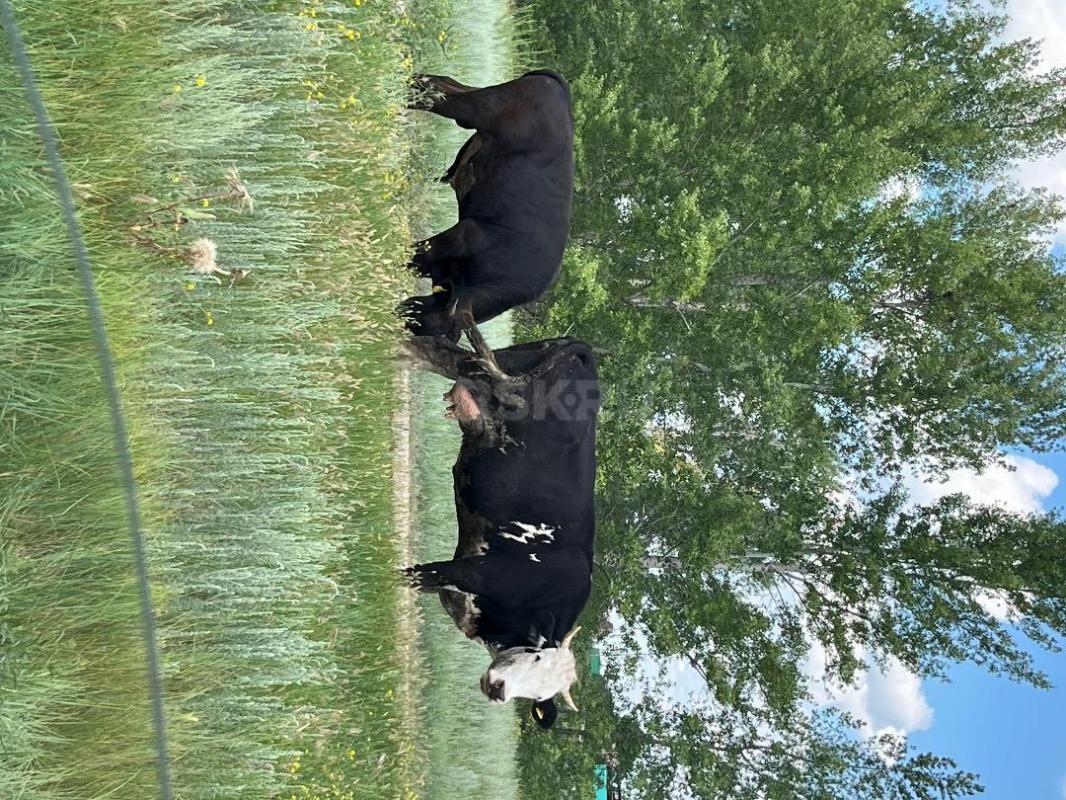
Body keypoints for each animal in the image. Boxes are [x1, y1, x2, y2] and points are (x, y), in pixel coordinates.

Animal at [399, 70, 574, 341]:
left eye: (420, 323)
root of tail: (556, 87)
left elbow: (420, 260)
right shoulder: (465, 233)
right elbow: (419, 251)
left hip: (474, 108)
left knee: (444, 84)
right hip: (479, 107)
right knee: (438, 97)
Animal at [402, 334, 599, 727]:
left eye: (540, 696)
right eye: (536, 656)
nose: (498, 689)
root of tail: (584, 351)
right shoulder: (472, 571)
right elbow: (408, 576)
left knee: (434, 348)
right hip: (496, 391)